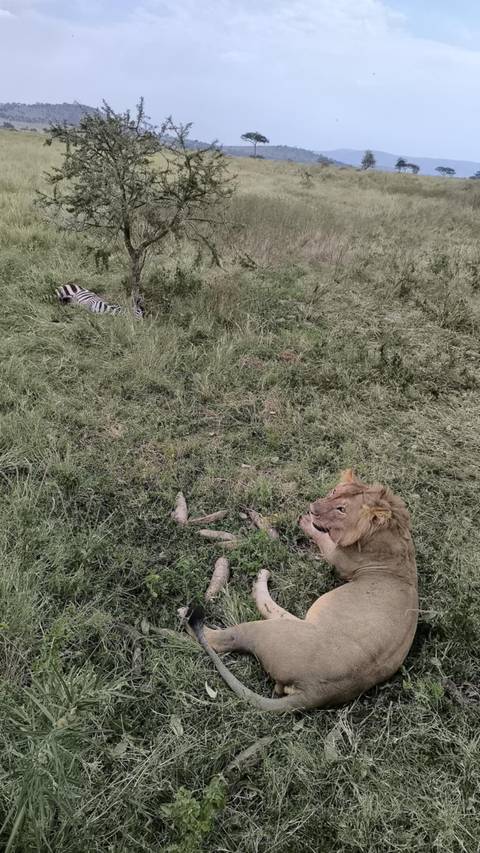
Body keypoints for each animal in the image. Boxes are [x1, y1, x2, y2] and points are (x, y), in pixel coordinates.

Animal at [183, 469, 418, 712]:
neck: (392, 534)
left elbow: (323, 537)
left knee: (221, 638)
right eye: (333, 491)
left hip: (273, 632)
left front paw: (306, 521)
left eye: (341, 509)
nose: (313, 507)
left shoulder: (339, 558)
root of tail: (314, 691)